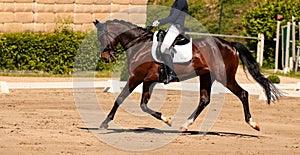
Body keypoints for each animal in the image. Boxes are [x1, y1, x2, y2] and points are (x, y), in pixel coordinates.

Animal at [94, 19, 282, 131]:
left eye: (102, 37)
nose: (105, 58)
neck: (139, 44)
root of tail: (228, 44)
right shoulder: (148, 80)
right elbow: (143, 105)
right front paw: (167, 119)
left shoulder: (136, 77)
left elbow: (120, 99)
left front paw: (104, 123)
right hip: (207, 76)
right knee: (204, 100)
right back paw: (185, 125)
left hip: (225, 77)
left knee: (243, 93)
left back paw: (253, 123)